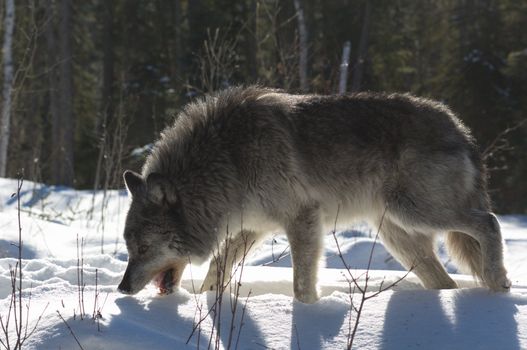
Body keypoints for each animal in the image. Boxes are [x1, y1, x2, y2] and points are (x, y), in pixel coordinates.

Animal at [118, 85, 512, 304]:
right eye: (129, 249)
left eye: (144, 249)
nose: (121, 288)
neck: (227, 157)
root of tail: (459, 127)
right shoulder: (253, 227)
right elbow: (218, 267)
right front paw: (206, 301)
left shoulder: (302, 217)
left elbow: (301, 283)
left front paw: (306, 313)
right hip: (399, 236)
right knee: (445, 282)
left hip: (415, 212)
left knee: (490, 222)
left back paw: (498, 284)